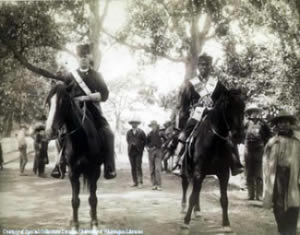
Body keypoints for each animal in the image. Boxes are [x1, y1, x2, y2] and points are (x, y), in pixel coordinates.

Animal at [45, 83, 103, 231]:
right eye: (48, 102)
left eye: (64, 101)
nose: (49, 131)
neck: (80, 140)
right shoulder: (73, 172)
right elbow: (75, 200)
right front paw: (75, 225)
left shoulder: (94, 171)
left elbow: (93, 199)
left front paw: (94, 223)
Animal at [179, 87, 245, 229]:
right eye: (228, 106)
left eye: (243, 106)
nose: (239, 135)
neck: (214, 142)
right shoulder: (198, 173)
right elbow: (192, 197)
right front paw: (186, 223)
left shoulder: (223, 173)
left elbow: (224, 199)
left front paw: (226, 224)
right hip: (187, 170)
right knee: (185, 185)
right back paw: (183, 206)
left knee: (197, 190)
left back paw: (197, 211)